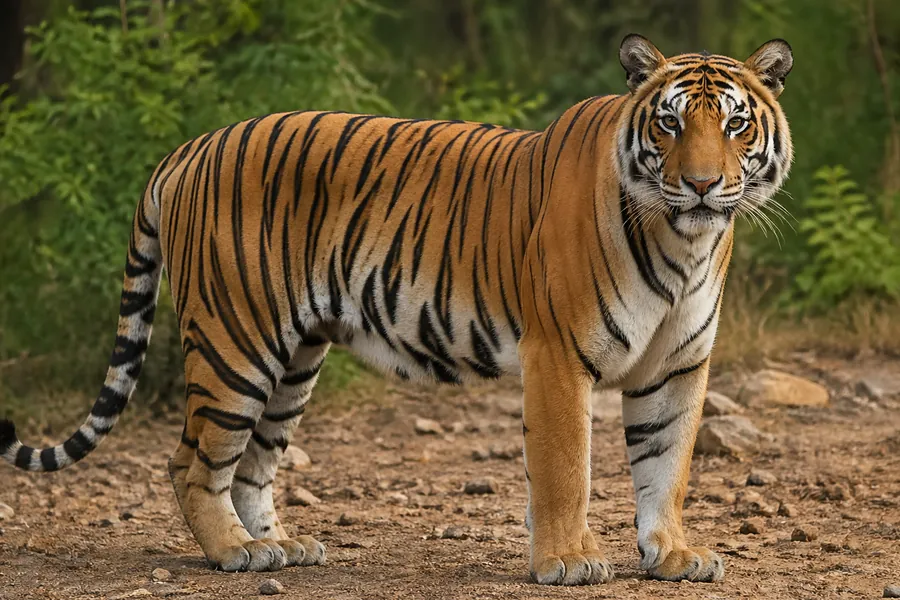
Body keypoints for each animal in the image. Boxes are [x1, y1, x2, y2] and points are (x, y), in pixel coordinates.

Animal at [0, 34, 793, 585]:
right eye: (668, 125)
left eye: (734, 126)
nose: (701, 185)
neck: (684, 243)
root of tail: (191, 146)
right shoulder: (559, 355)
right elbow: (567, 467)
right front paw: (567, 560)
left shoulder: (678, 366)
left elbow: (668, 466)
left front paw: (673, 555)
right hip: (236, 344)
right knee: (191, 461)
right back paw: (233, 553)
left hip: (295, 359)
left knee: (252, 462)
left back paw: (276, 545)